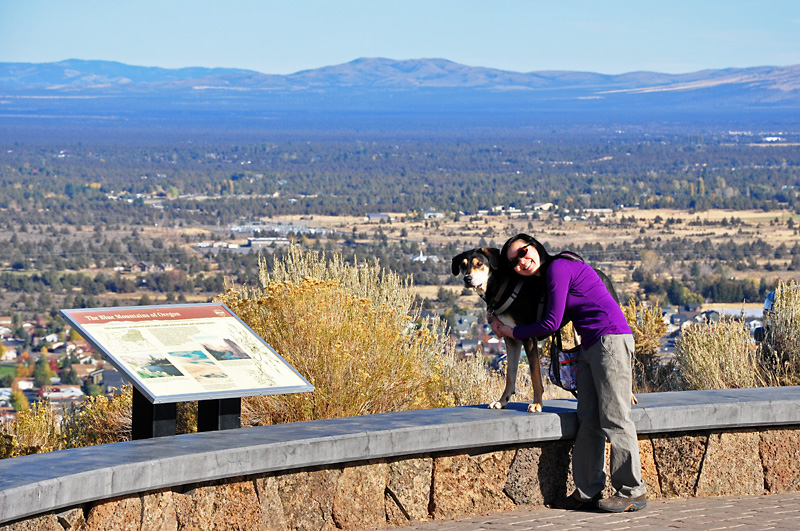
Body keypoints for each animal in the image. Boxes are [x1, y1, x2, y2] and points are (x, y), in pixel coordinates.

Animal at [450, 247, 632, 414]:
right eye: (462, 265)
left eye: (479, 263)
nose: (467, 279)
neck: (501, 286)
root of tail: (599, 271)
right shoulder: (511, 340)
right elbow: (510, 375)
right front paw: (502, 401)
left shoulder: (528, 338)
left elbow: (535, 376)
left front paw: (537, 404)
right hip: (580, 332)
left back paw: (629, 396)